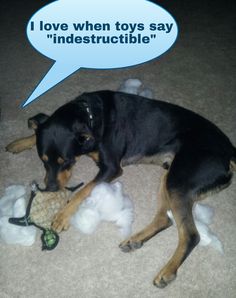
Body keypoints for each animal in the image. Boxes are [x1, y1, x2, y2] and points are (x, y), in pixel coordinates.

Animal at [6, 91, 236, 286]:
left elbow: (83, 190)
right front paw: (19, 142)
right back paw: (135, 240)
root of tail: (229, 151)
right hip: (169, 176)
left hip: (178, 181)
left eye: (67, 161)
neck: (90, 116)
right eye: (43, 161)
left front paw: (63, 215)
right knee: (165, 219)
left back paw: (167, 271)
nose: (52, 189)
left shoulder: (111, 168)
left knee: (191, 235)